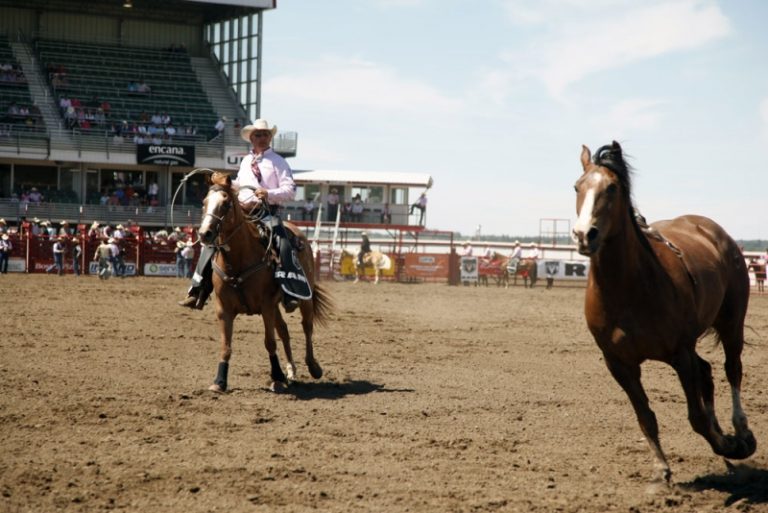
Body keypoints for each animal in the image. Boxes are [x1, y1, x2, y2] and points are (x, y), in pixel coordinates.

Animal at [196, 172, 332, 392]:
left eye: (225, 204)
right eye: (204, 202)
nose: (204, 234)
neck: (239, 260)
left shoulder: (266, 305)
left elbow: (269, 342)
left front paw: (277, 377)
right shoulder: (223, 308)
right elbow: (226, 346)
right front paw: (219, 381)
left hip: (305, 298)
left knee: (307, 326)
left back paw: (313, 366)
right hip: (277, 306)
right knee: (284, 330)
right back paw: (291, 370)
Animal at [572, 142, 752, 482]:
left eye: (612, 187)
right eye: (577, 186)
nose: (583, 234)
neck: (628, 289)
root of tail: (713, 231)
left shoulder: (680, 353)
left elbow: (696, 417)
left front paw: (727, 445)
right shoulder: (619, 364)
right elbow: (646, 416)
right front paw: (661, 469)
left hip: (731, 322)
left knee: (731, 369)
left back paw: (741, 432)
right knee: (707, 371)